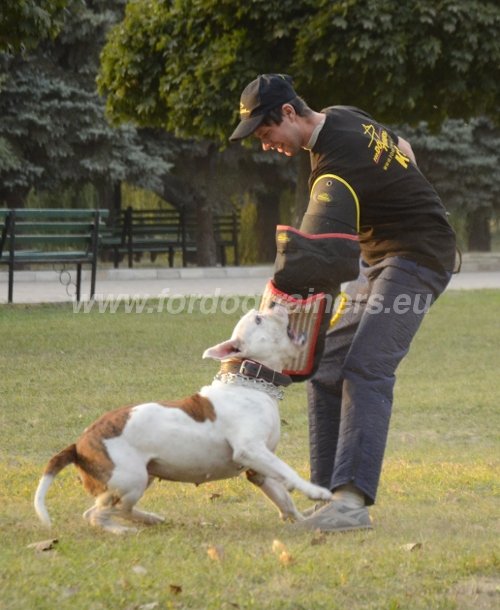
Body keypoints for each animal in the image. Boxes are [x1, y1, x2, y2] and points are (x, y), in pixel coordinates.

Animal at [34, 304, 332, 532]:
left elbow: (282, 496)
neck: (250, 382)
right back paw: (123, 531)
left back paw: (150, 519)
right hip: (131, 479)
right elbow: (288, 470)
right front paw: (316, 492)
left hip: (143, 477)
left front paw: (302, 519)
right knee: (97, 514)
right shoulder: (250, 450)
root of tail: (79, 443)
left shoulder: (257, 468)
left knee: (115, 509)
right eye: (258, 319)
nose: (275, 303)